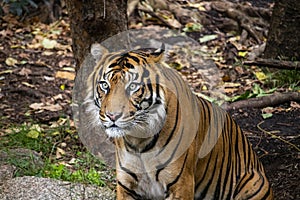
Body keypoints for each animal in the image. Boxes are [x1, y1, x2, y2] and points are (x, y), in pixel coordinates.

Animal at [84, 43, 274, 199]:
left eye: (133, 86)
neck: (138, 141)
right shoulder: (126, 187)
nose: (112, 116)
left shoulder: (181, 184)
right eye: (104, 85)